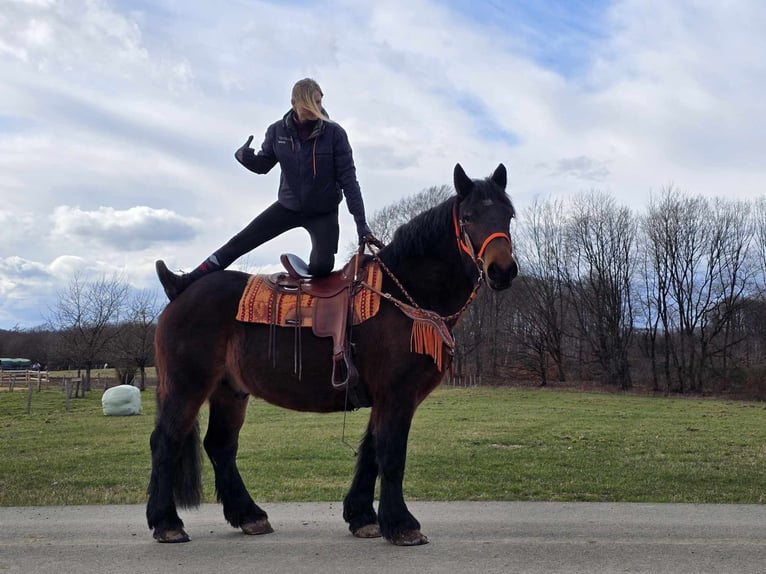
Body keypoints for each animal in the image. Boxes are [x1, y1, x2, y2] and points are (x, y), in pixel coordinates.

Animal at [147, 163, 520, 548]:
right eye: (468, 216)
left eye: (508, 215)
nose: (502, 270)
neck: (404, 296)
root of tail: (180, 294)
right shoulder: (397, 394)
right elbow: (391, 454)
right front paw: (401, 524)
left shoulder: (385, 397)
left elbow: (371, 452)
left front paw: (362, 517)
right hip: (187, 387)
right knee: (166, 442)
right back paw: (167, 523)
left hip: (230, 391)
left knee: (220, 446)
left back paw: (249, 515)